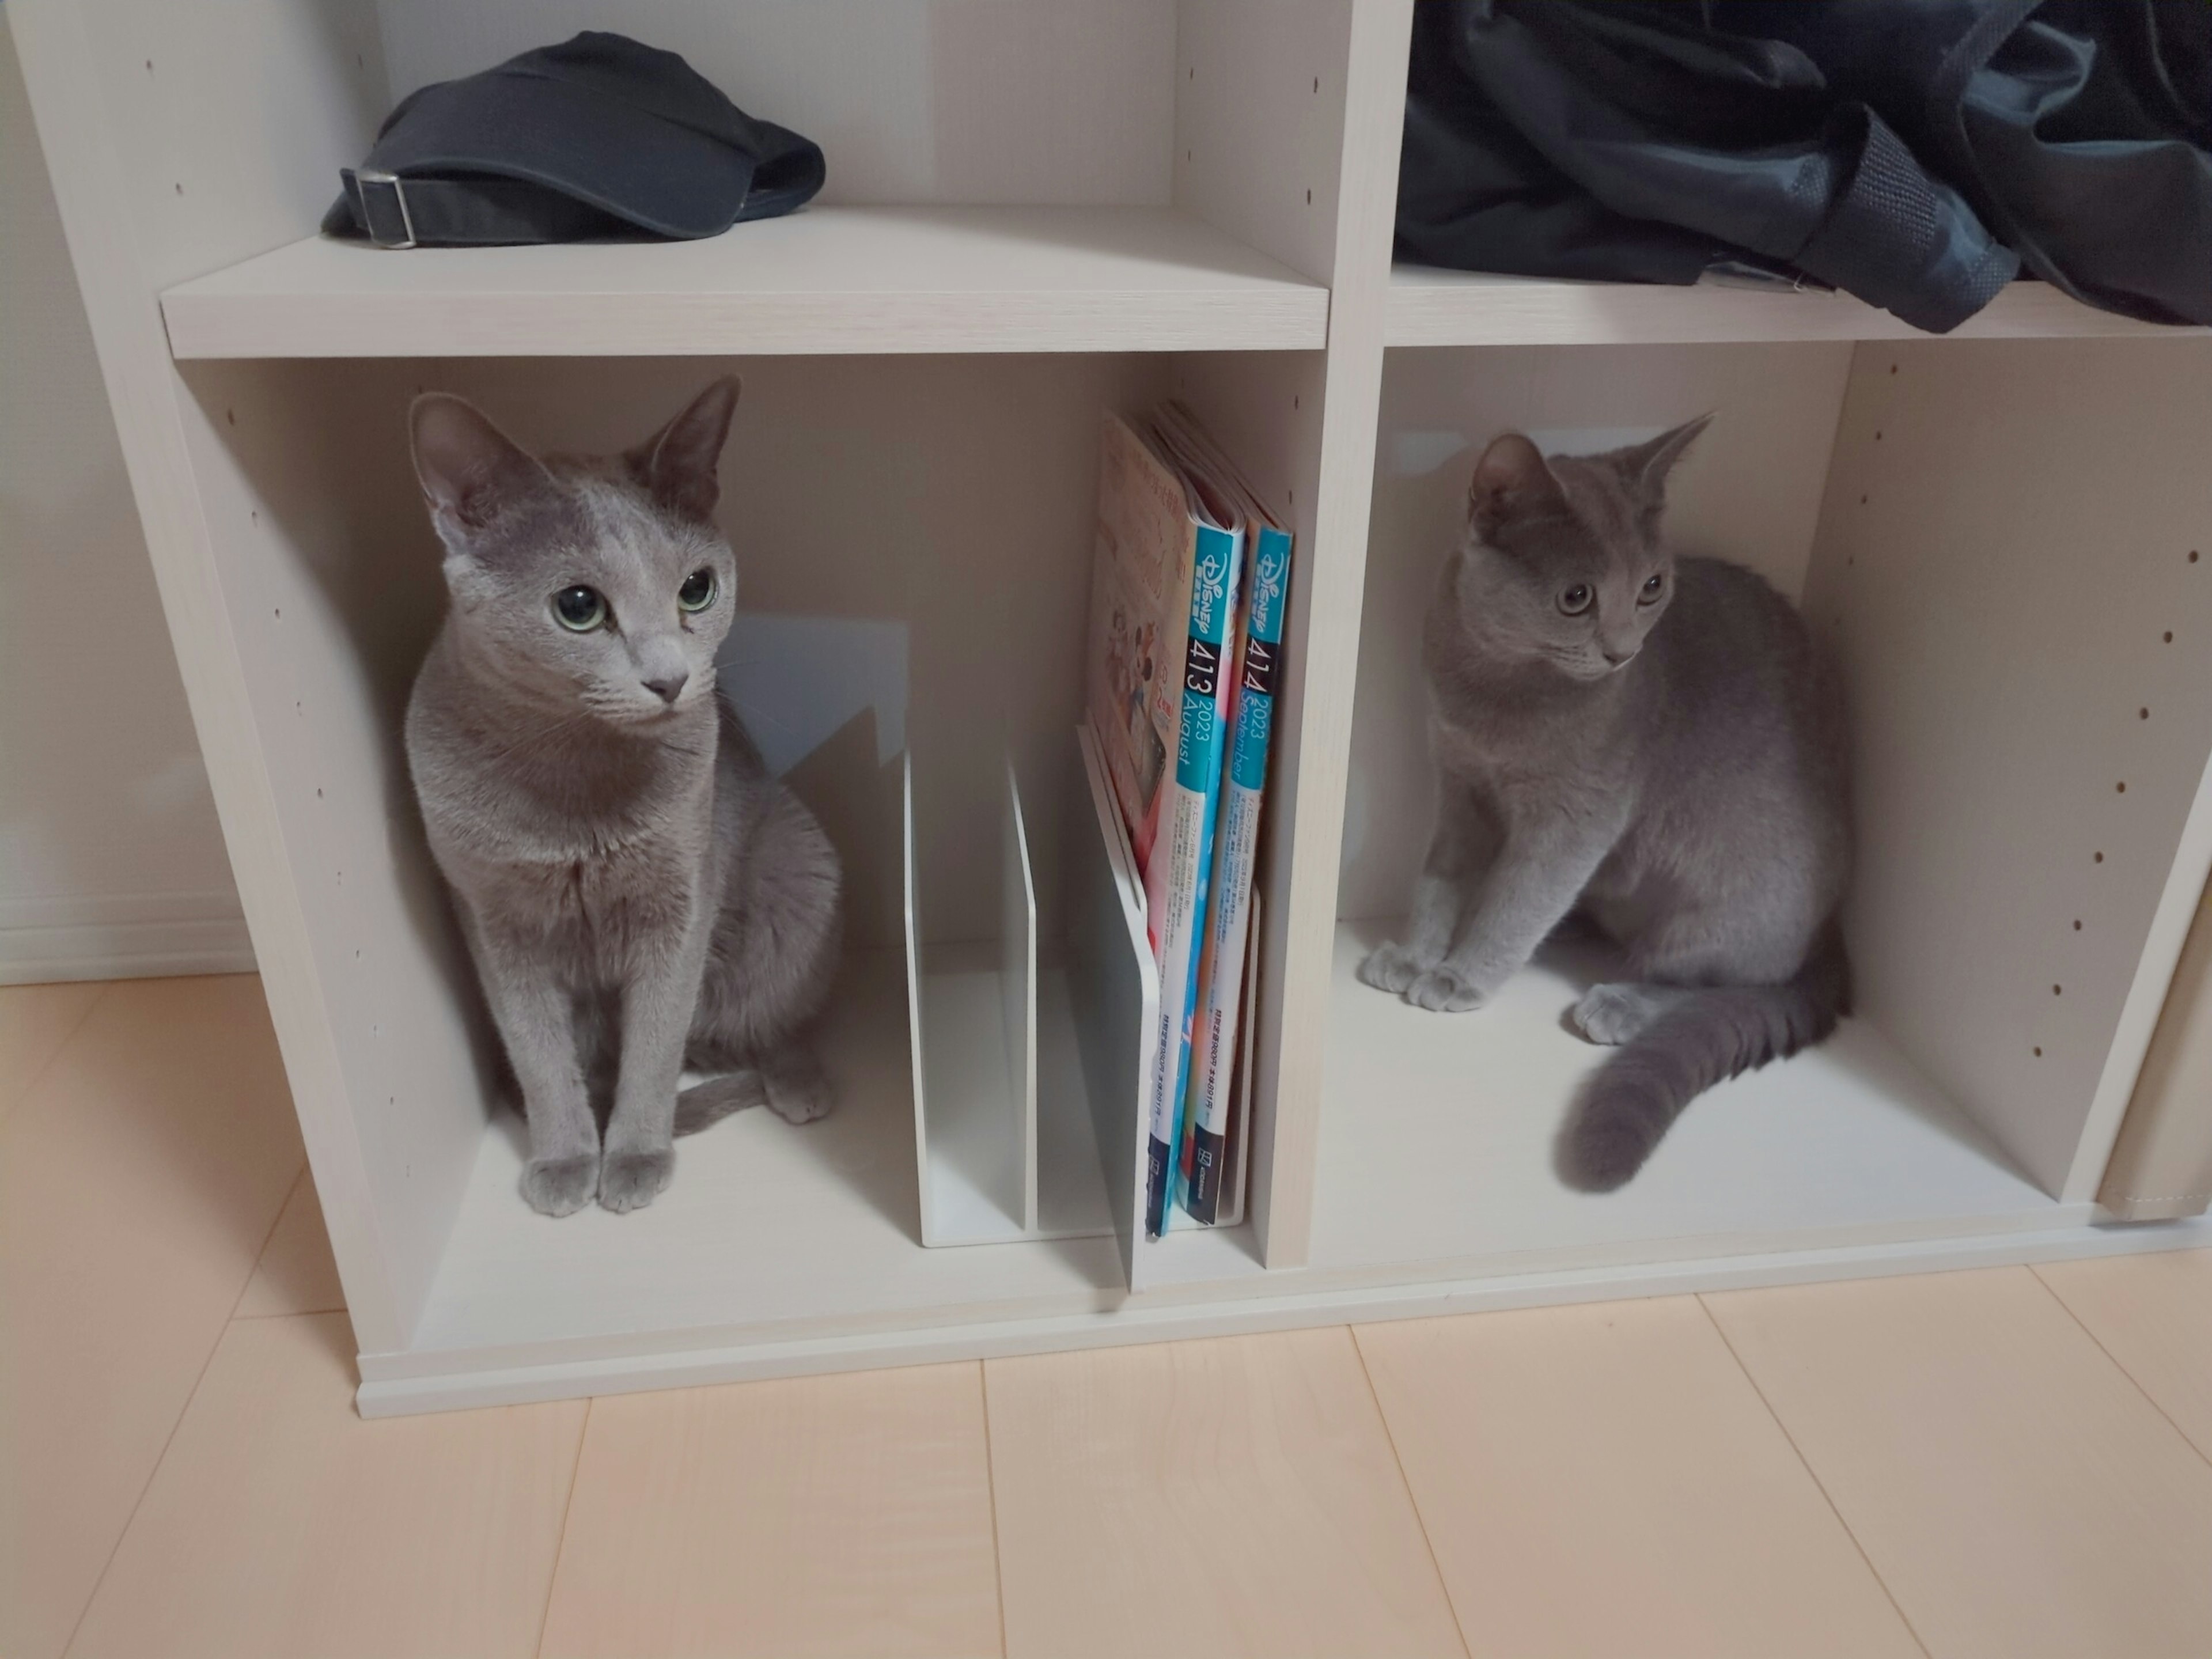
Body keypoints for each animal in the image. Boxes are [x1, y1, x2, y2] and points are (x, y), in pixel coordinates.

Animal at [402, 389, 840, 1221]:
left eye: (697, 588)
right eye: (578, 606)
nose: (671, 680)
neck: (575, 789)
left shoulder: (681, 898)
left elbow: (654, 1048)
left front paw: (635, 1156)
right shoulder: (492, 919)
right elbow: (538, 1054)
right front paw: (567, 1160)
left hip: (800, 864)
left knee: (779, 1011)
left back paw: (801, 1082)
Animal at [1362, 415, 1849, 1194]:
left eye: (1652, 586)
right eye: (1576, 597)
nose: (1623, 652)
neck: (1494, 689)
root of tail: (1835, 930)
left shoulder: (1576, 818)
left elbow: (1517, 900)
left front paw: (1461, 974)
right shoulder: (1458, 782)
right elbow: (1441, 881)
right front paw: (1415, 953)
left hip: (1726, 911)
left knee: (1718, 982)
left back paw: (1620, 1001)